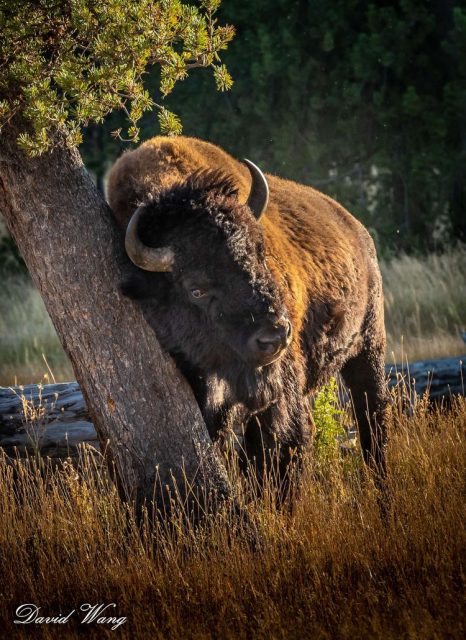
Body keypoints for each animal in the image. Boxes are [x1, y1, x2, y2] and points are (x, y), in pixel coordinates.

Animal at [106, 135, 390, 484]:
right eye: (196, 289)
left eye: (260, 254)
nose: (274, 337)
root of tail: (357, 228)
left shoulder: (277, 391)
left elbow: (279, 449)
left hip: (368, 344)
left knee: (371, 415)